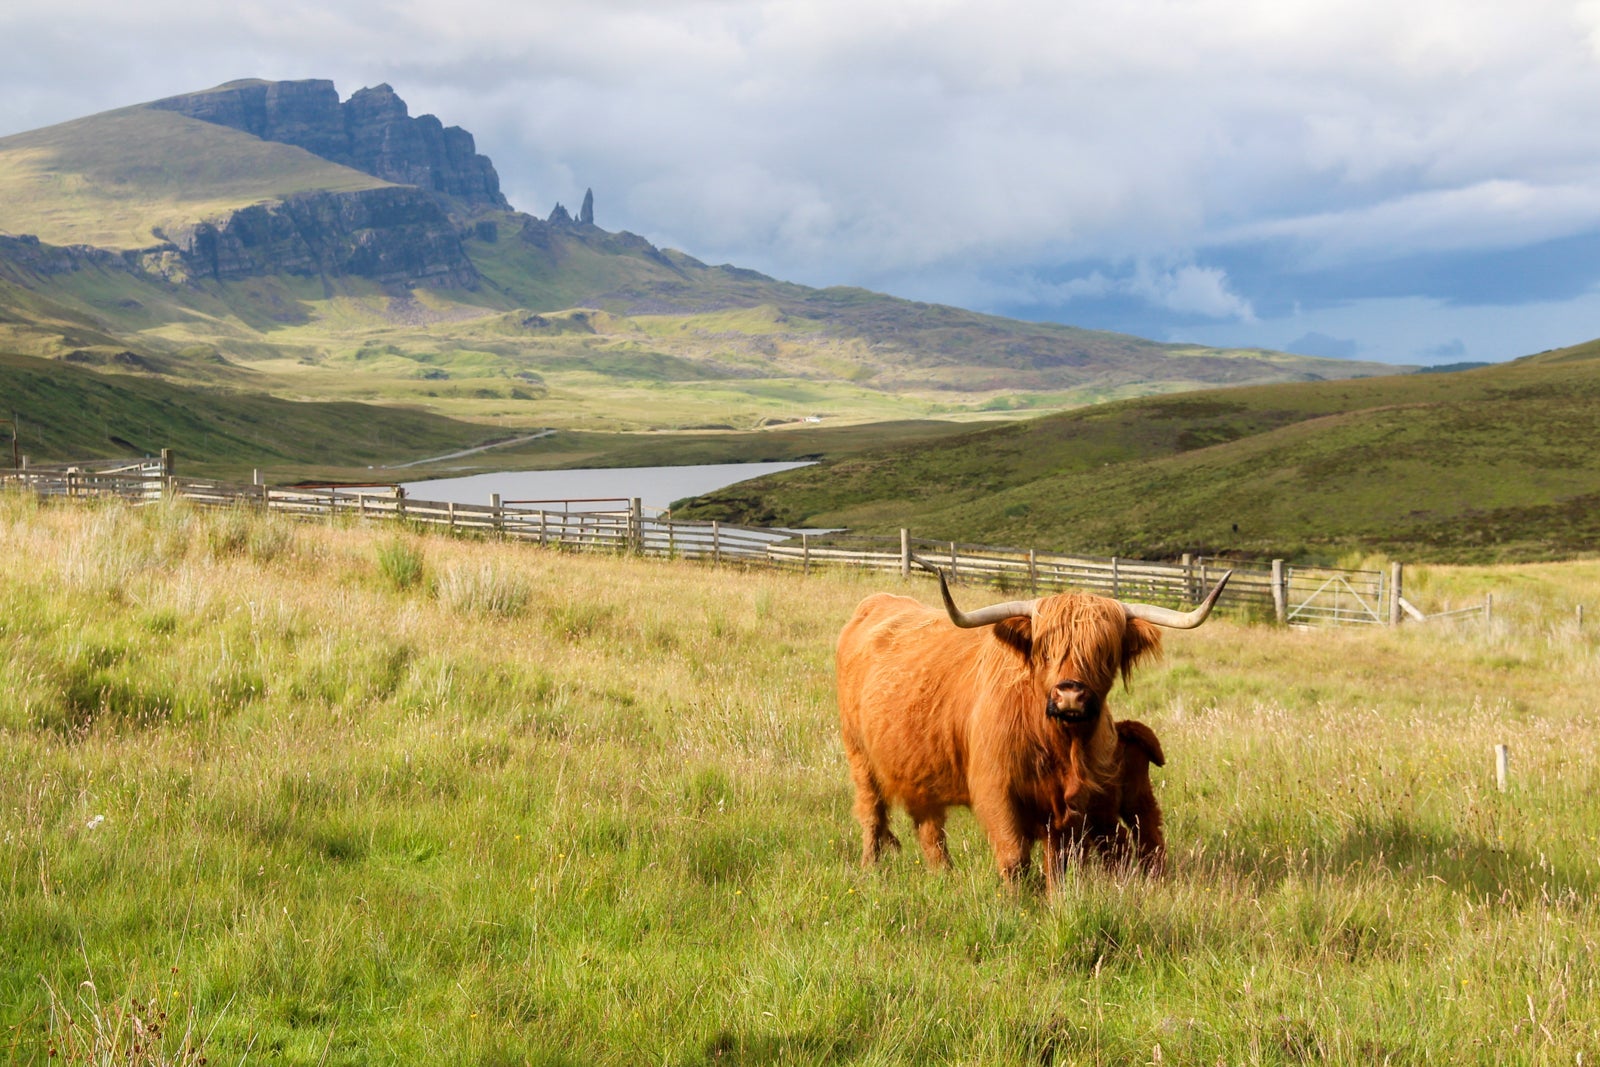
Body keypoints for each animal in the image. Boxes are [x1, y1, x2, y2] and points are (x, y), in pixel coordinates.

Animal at [836, 560, 1225, 888]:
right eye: (1045, 650)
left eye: (1104, 651)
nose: (1070, 695)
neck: (1060, 745)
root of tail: (877, 602)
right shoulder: (995, 790)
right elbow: (1014, 859)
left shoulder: (1070, 807)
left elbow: (1059, 864)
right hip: (859, 757)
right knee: (872, 814)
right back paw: (870, 869)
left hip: (919, 770)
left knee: (929, 828)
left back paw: (944, 876)